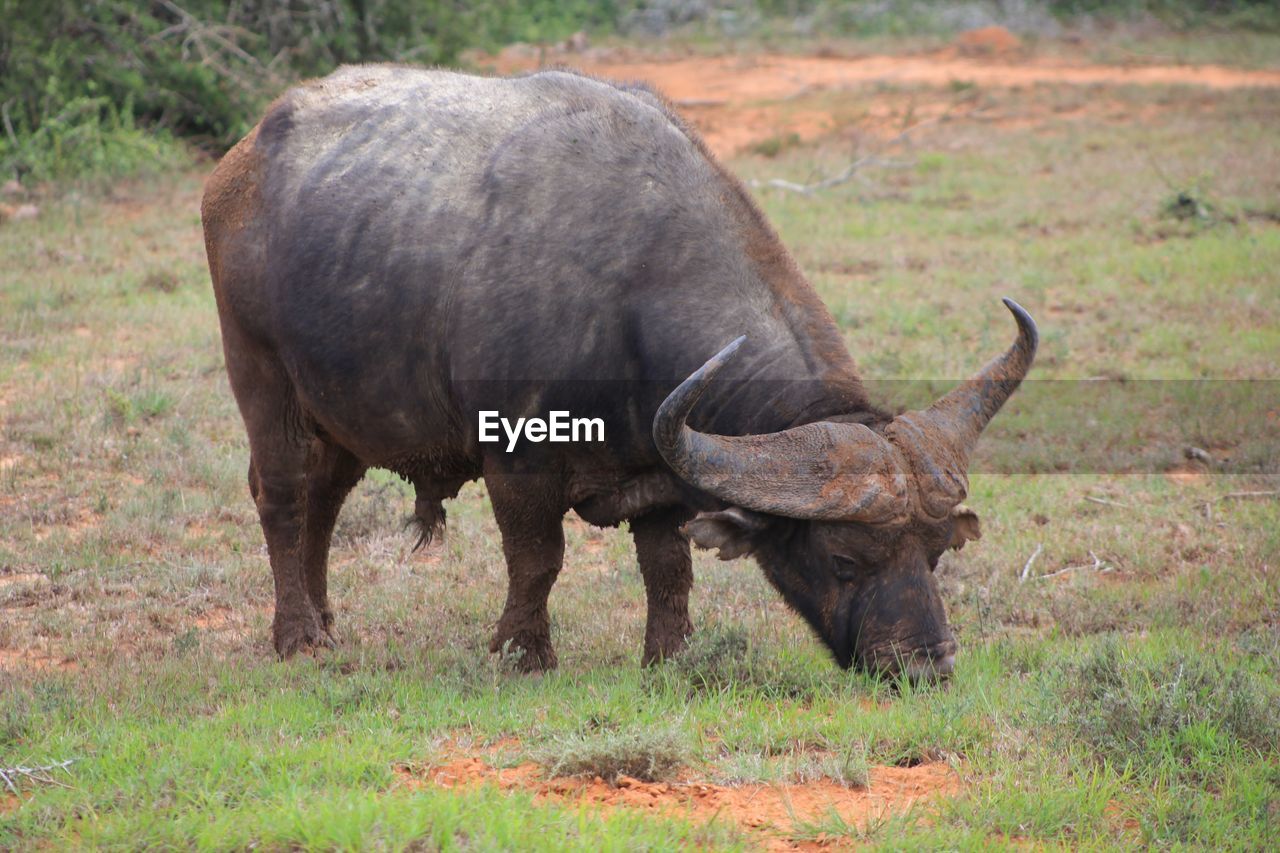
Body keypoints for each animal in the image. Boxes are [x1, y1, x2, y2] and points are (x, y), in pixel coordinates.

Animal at [202, 64, 1039, 676]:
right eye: (841, 557)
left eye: (936, 552)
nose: (926, 667)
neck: (629, 289)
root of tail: (237, 164)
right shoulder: (518, 460)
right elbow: (538, 559)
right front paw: (522, 652)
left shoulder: (664, 470)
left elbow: (668, 568)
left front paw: (668, 655)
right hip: (263, 380)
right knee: (283, 498)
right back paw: (296, 636)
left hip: (341, 413)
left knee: (324, 501)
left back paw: (322, 624)